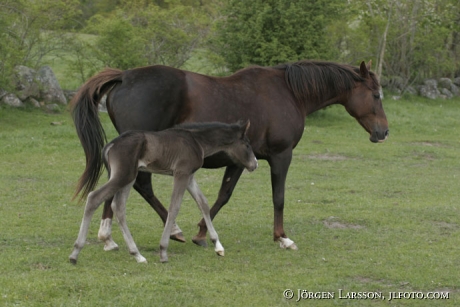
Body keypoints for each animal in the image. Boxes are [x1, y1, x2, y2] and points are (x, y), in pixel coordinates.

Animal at [71, 121, 258, 264]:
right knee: (94, 197)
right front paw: (163, 251)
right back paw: (75, 253)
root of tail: (111, 144)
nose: (255, 164)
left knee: (119, 207)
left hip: (129, 177)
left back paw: (137, 255)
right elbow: (174, 207)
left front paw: (218, 246)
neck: (196, 141)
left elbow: (203, 203)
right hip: (123, 176)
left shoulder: (189, 176)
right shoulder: (181, 173)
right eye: (247, 144)